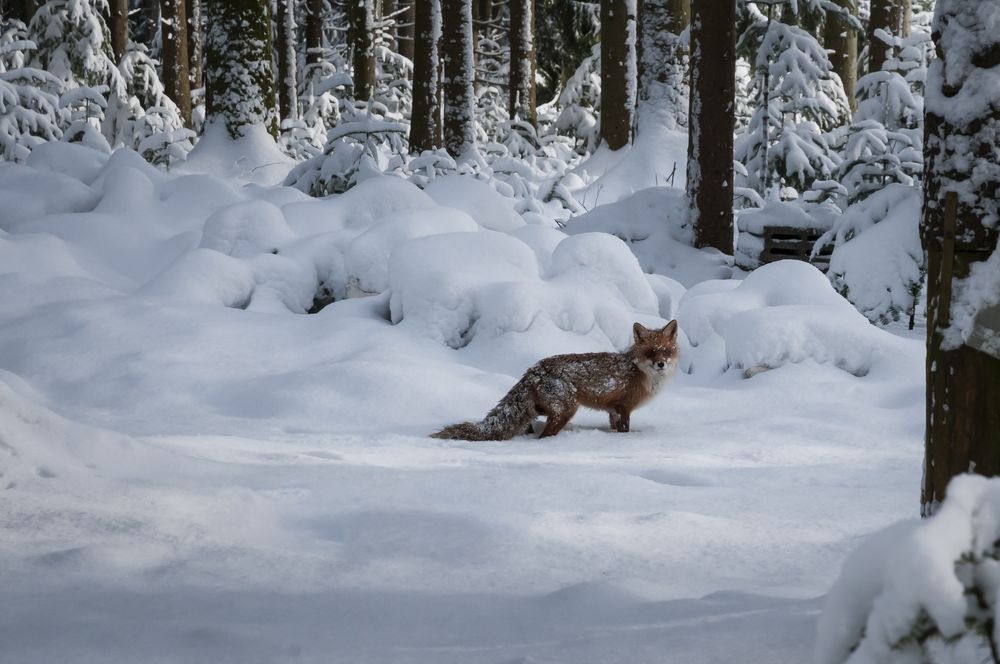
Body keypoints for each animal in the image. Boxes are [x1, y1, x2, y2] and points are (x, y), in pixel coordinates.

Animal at [430, 322, 680, 440]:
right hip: (566, 411)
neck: (641, 373)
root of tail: (534, 369)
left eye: (666, 352)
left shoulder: (612, 410)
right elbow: (624, 431)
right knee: (543, 435)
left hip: (543, 409)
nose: (661, 364)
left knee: (529, 422)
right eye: (650, 352)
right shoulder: (623, 408)